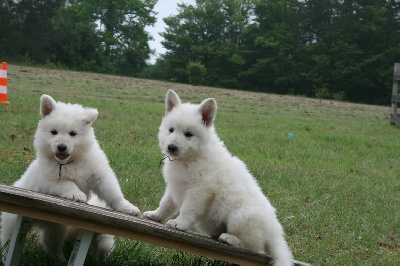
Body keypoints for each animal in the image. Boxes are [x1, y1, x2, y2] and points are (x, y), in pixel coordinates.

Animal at [0, 94, 141, 260]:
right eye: (53, 132)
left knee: (52, 243)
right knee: (8, 238)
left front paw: (128, 208)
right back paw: (6, 255)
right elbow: (68, 183)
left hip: (55, 227)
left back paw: (59, 259)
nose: (61, 147)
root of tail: (39, 221)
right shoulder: (51, 179)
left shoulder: (100, 175)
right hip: (13, 221)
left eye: (73, 133)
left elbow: (113, 193)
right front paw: (77, 195)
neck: (70, 161)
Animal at [145, 90, 294, 264]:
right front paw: (155, 215)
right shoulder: (175, 186)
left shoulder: (199, 190)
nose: (171, 147)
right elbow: (165, 204)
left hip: (241, 216)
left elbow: (188, 209)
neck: (190, 158)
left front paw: (179, 223)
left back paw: (229, 238)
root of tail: (275, 234)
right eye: (171, 130)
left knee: (252, 246)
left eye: (188, 134)